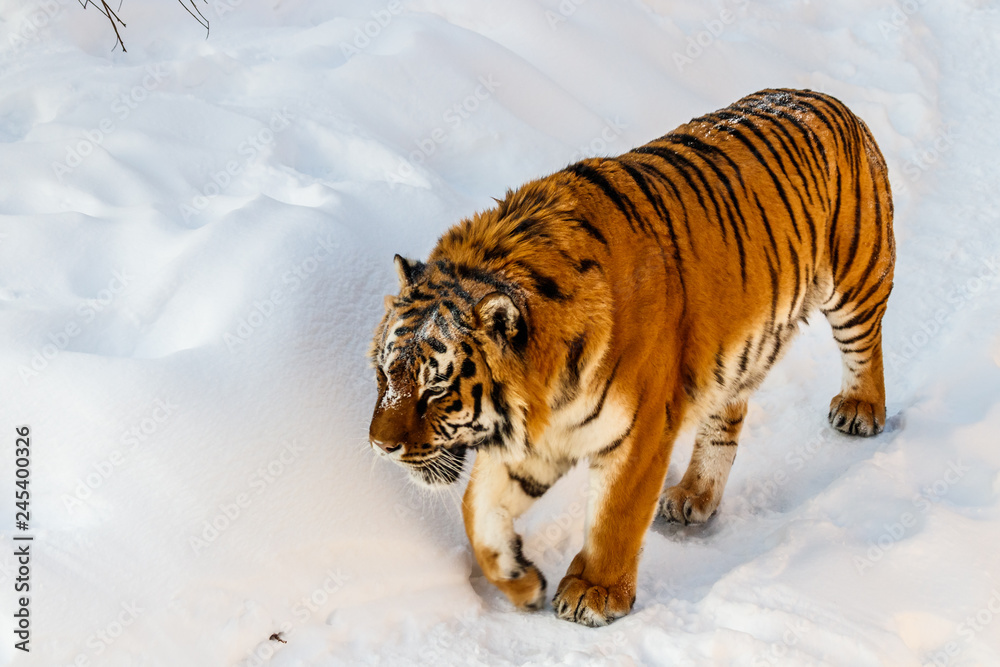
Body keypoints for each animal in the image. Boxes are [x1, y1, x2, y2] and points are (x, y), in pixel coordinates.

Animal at [370, 87, 900, 628]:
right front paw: (520, 582)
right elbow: (477, 511)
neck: (546, 390)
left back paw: (860, 410)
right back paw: (694, 495)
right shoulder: (538, 436)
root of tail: (823, 97)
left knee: (866, 345)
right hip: (739, 351)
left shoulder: (640, 428)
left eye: (437, 389)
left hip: (856, 279)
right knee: (725, 417)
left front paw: (594, 593)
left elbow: (614, 518)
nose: (380, 446)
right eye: (385, 375)